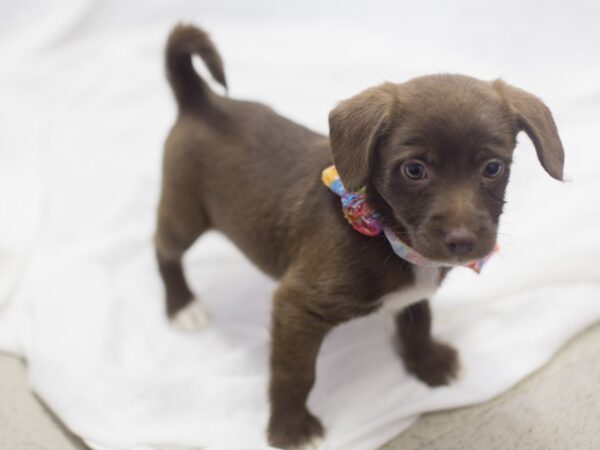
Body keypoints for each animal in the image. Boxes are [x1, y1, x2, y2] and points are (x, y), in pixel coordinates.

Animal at [154, 25, 564, 450]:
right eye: (414, 170)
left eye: (493, 167)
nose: (463, 241)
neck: (385, 233)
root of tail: (200, 100)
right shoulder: (295, 305)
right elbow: (294, 374)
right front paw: (290, 428)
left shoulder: (412, 294)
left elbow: (419, 323)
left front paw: (428, 365)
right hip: (184, 213)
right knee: (164, 248)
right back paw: (182, 305)